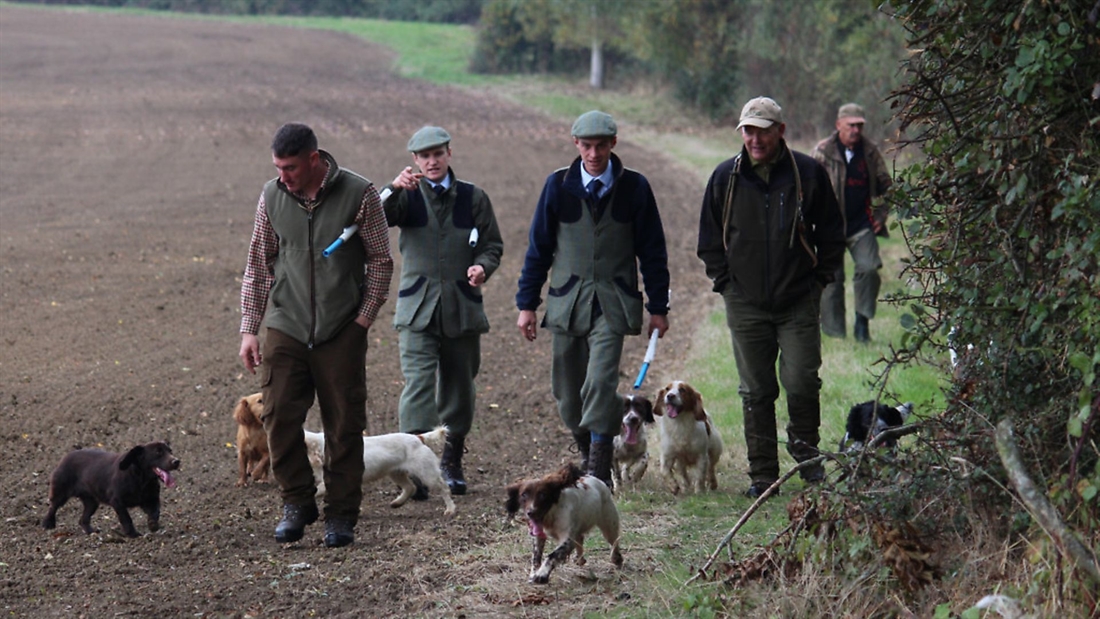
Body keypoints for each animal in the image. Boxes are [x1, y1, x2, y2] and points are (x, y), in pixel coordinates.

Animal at [41, 439, 180, 538]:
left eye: (170, 451)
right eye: (158, 452)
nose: (176, 461)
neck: (141, 480)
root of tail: (65, 457)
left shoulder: (151, 499)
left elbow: (156, 512)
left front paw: (153, 525)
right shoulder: (117, 501)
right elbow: (126, 519)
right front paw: (132, 534)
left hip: (92, 502)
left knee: (83, 520)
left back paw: (91, 532)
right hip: (61, 492)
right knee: (53, 507)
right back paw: (47, 524)